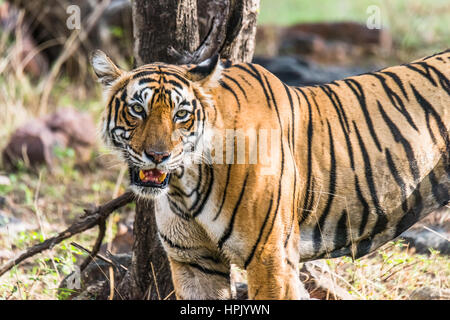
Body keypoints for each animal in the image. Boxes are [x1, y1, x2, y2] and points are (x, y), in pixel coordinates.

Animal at [89, 48, 448, 300]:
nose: (158, 156)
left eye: (181, 115)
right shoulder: (194, 261)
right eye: (138, 109)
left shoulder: (270, 257)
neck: (185, 185)